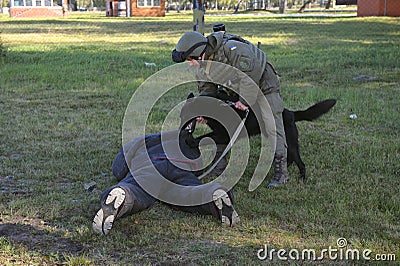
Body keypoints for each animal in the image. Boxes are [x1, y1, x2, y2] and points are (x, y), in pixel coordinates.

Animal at [180, 91, 336, 181]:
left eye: (184, 115)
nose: (180, 129)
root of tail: (292, 113)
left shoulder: (223, 135)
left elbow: (202, 138)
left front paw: (191, 141)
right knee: (289, 157)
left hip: (289, 143)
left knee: (299, 162)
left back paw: (302, 178)